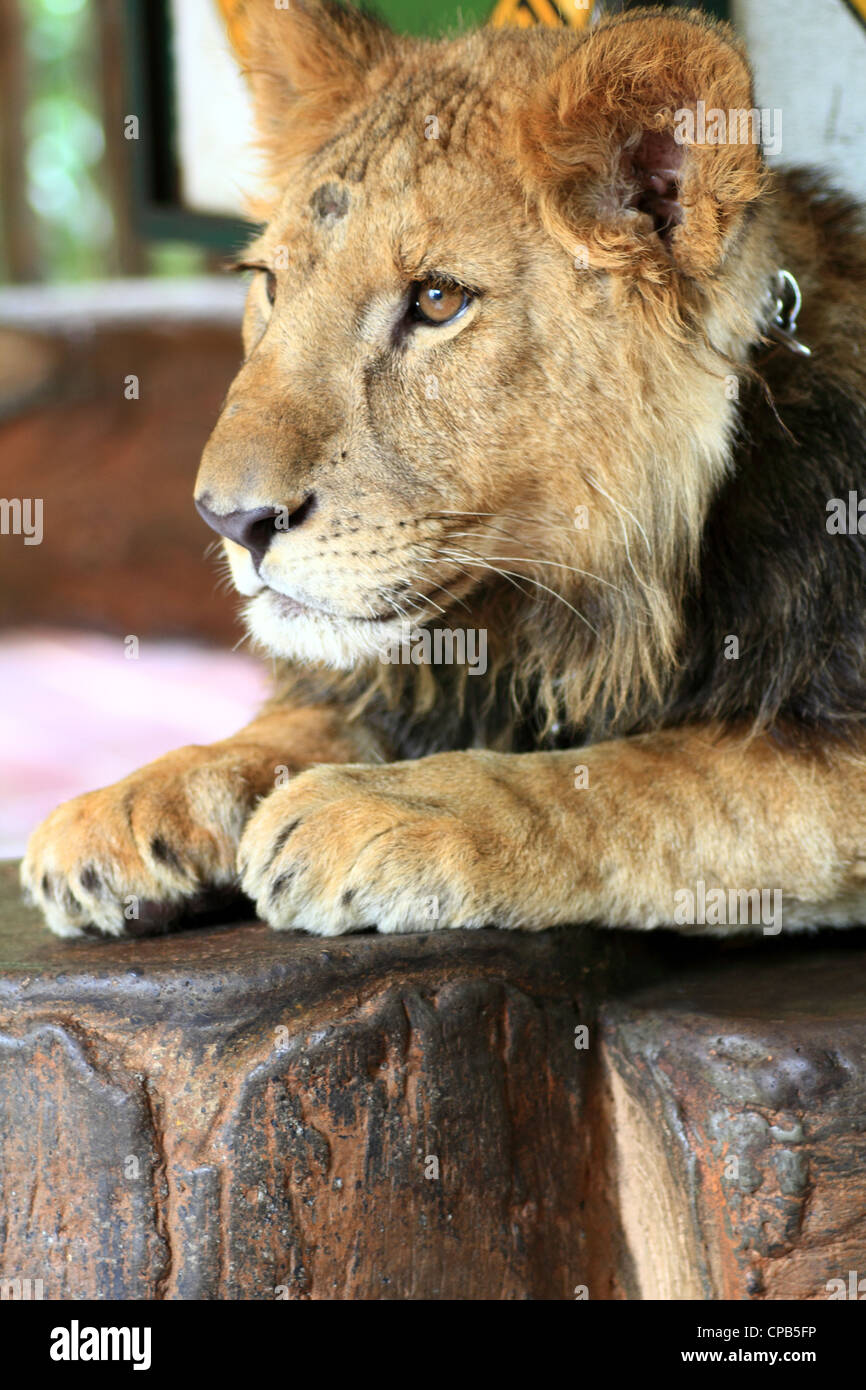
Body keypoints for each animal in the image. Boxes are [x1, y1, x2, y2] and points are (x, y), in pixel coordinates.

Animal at [22, 2, 866, 940]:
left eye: (436, 301)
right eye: (272, 283)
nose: (230, 521)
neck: (587, 612)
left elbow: (652, 775)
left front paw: (387, 807)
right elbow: (312, 715)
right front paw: (139, 796)